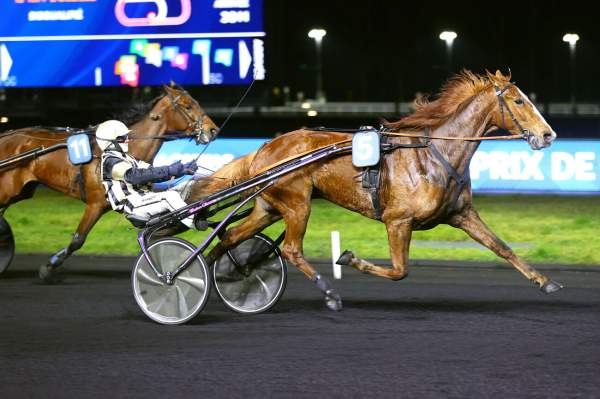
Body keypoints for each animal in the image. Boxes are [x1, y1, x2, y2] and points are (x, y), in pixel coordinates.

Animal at [0, 86, 220, 282]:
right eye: (188, 106)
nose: (213, 129)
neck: (119, 148)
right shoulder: (95, 204)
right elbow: (77, 240)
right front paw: (49, 267)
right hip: (7, 190)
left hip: (20, 192)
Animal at [189, 70, 564, 310]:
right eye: (518, 101)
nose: (548, 135)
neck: (434, 153)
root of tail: (266, 147)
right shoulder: (398, 220)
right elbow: (399, 271)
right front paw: (349, 258)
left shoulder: (461, 214)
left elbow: (502, 247)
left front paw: (545, 281)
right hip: (297, 204)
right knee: (292, 249)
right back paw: (328, 293)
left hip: (269, 206)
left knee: (229, 237)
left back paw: (215, 273)